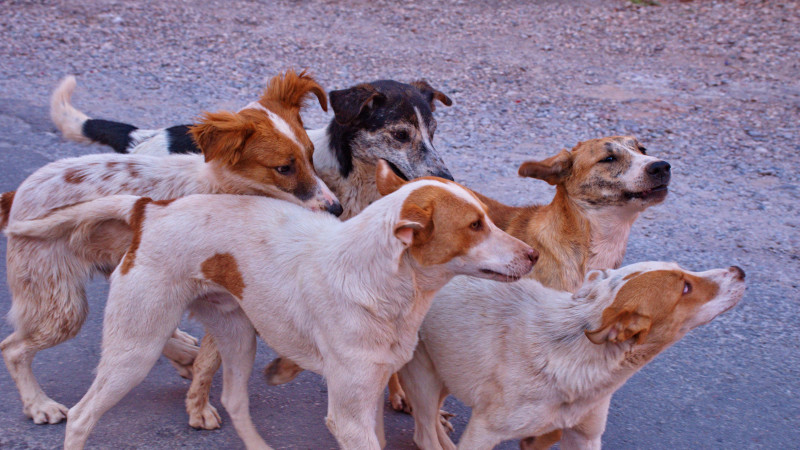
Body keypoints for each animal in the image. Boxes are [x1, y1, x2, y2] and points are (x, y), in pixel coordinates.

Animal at [4, 160, 536, 448]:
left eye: (488, 217)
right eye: (474, 226)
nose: (533, 255)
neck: (381, 284)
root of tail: (149, 210)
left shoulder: (370, 397)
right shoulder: (348, 414)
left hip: (238, 336)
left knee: (235, 401)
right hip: (132, 348)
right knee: (76, 409)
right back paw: (44, 406)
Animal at [404, 262, 748, 448]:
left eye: (684, 270)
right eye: (686, 288)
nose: (740, 271)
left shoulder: (585, 437)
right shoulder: (483, 432)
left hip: (445, 369)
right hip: (424, 375)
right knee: (424, 434)